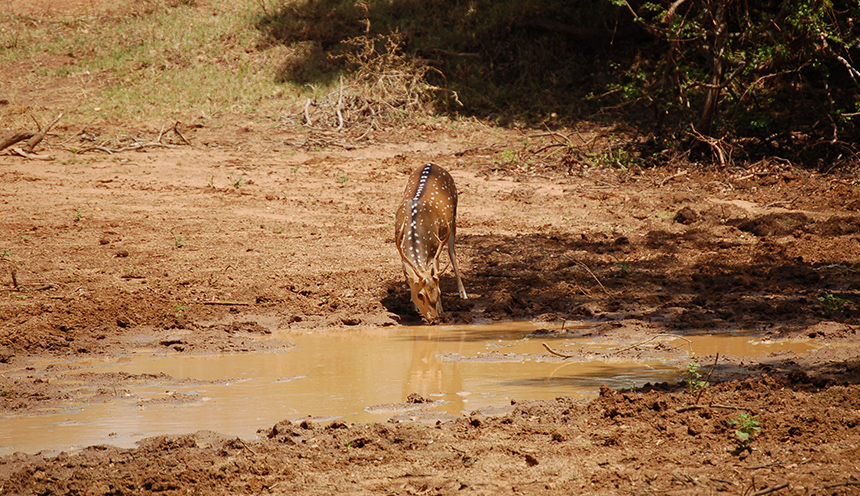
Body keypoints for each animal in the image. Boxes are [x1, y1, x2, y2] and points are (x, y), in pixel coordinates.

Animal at [394, 165, 466, 324]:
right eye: (420, 295)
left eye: (439, 292)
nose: (436, 320)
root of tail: (431, 164)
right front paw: (413, 306)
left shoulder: (434, 249)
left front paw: (441, 309)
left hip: (453, 219)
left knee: (453, 254)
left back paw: (463, 293)